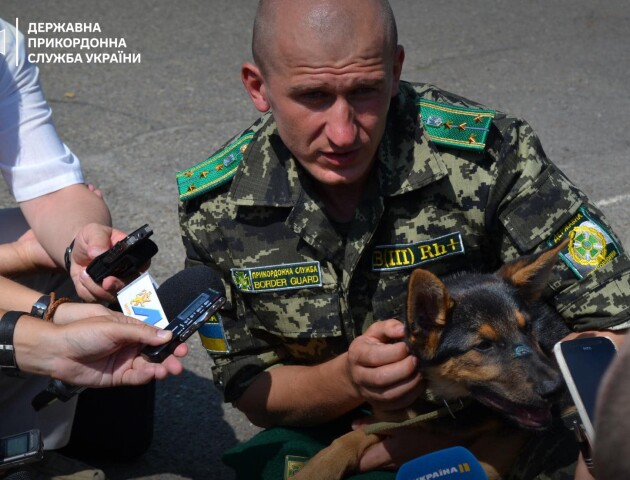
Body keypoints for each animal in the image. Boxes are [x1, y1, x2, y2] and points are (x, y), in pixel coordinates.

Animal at [294, 240, 576, 480]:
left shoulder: (508, 435)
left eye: (528, 329)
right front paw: (317, 468)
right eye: (483, 345)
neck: (444, 401)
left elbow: (481, 464)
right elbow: (351, 437)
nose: (558, 388)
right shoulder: (393, 417)